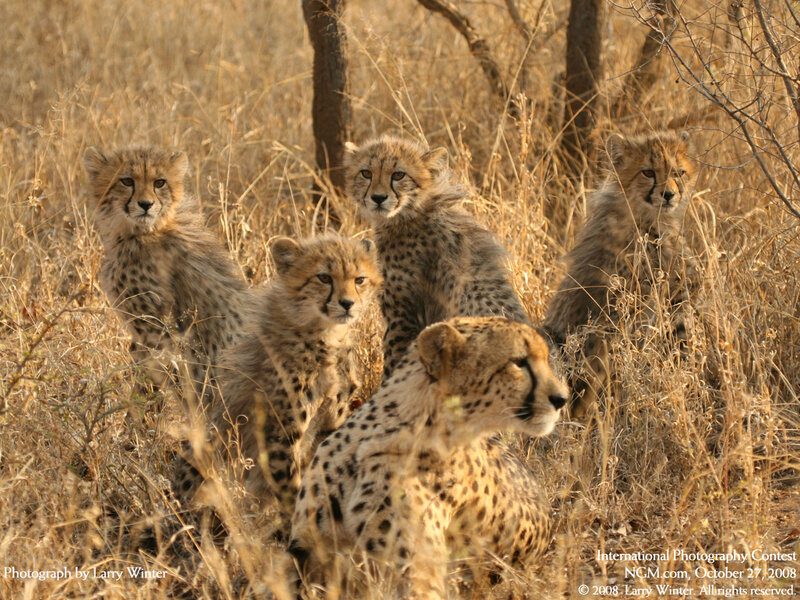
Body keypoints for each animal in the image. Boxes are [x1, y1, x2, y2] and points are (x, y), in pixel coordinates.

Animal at [172, 234, 382, 527]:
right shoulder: (278, 437)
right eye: (324, 278)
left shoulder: (329, 426)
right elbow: (293, 491)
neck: (326, 335)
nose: (347, 303)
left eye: (359, 279)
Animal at [344, 135, 532, 379]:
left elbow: (392, 365)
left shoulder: (403, 318)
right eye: (366, 173)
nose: (378, 198)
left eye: (398, 175)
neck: (412, 211)